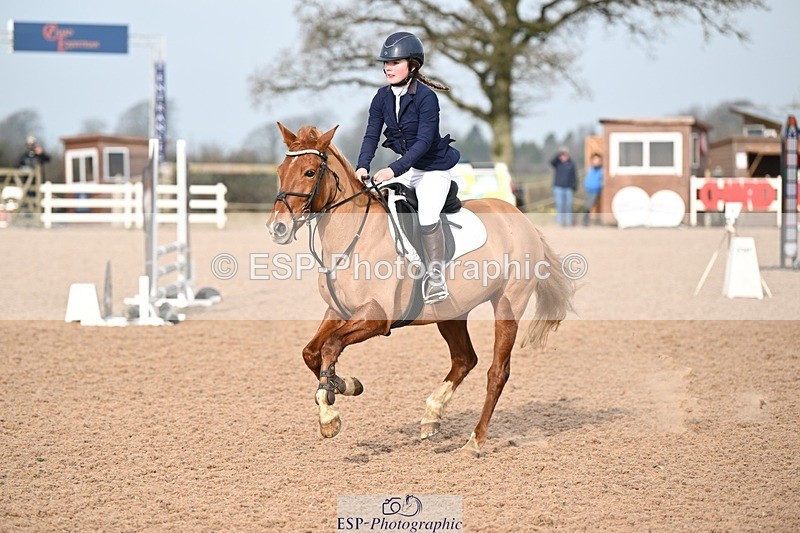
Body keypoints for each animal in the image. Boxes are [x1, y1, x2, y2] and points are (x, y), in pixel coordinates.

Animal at [266, 123, 574, 457]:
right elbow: (312, 353)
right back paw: (431, 417)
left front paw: (329, 416)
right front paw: (345, 385)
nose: (277, 228)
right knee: (464, 359)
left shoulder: (377, 318)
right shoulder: (338, 311)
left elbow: (331, 346)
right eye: (281, 170)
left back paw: (474, 442)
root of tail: (522, 221)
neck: (353, 238)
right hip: (451, 313)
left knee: (497, 372)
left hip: (507, 306)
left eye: (310, 172)